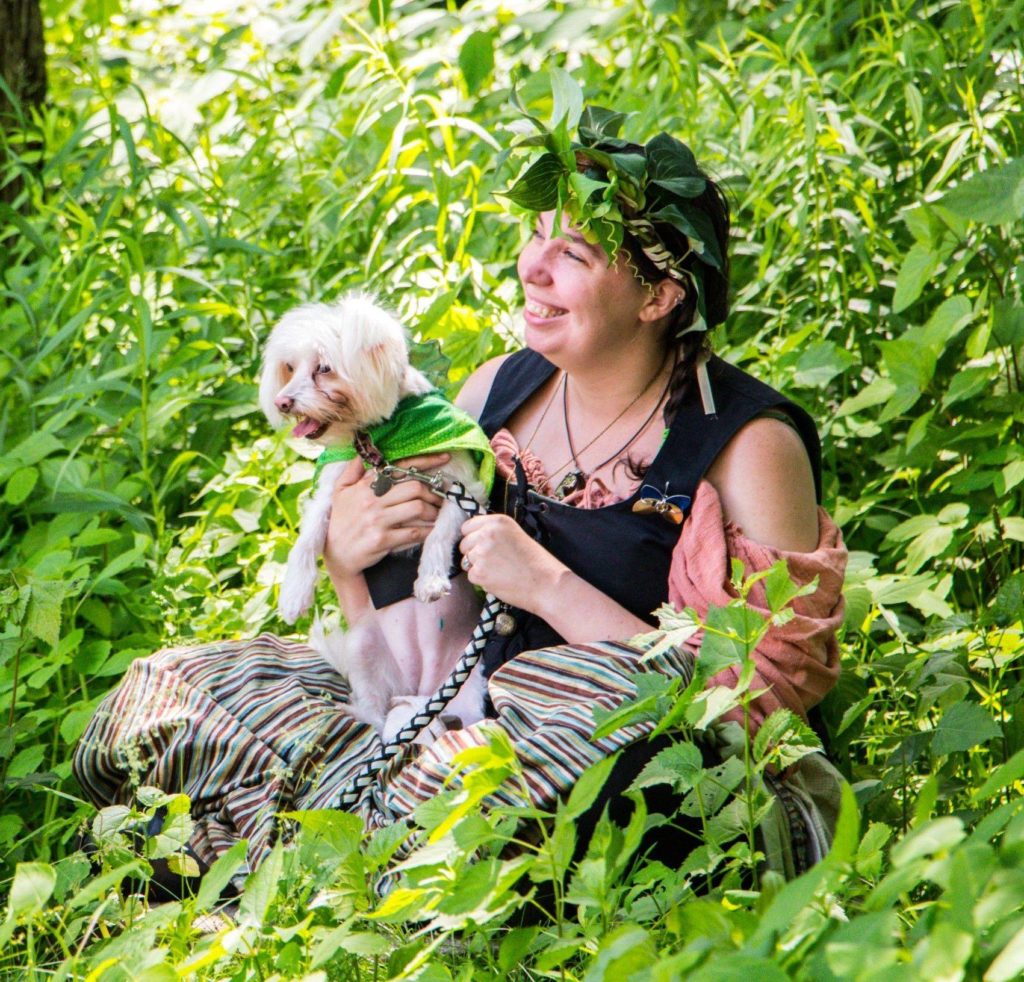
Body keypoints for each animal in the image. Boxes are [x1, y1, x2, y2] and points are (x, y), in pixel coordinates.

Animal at [262, 294, 489, 741]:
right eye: (290, 368)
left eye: (324, 368)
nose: (282, 402)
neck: (383, 441)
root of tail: (416, 688)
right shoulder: (332, 489)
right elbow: (308, 536)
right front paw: (294, 592)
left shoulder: (462, 487)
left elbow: (439, 534)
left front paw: (429, 579)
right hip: (363, 648)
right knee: (374, 713)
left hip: (470, 684)